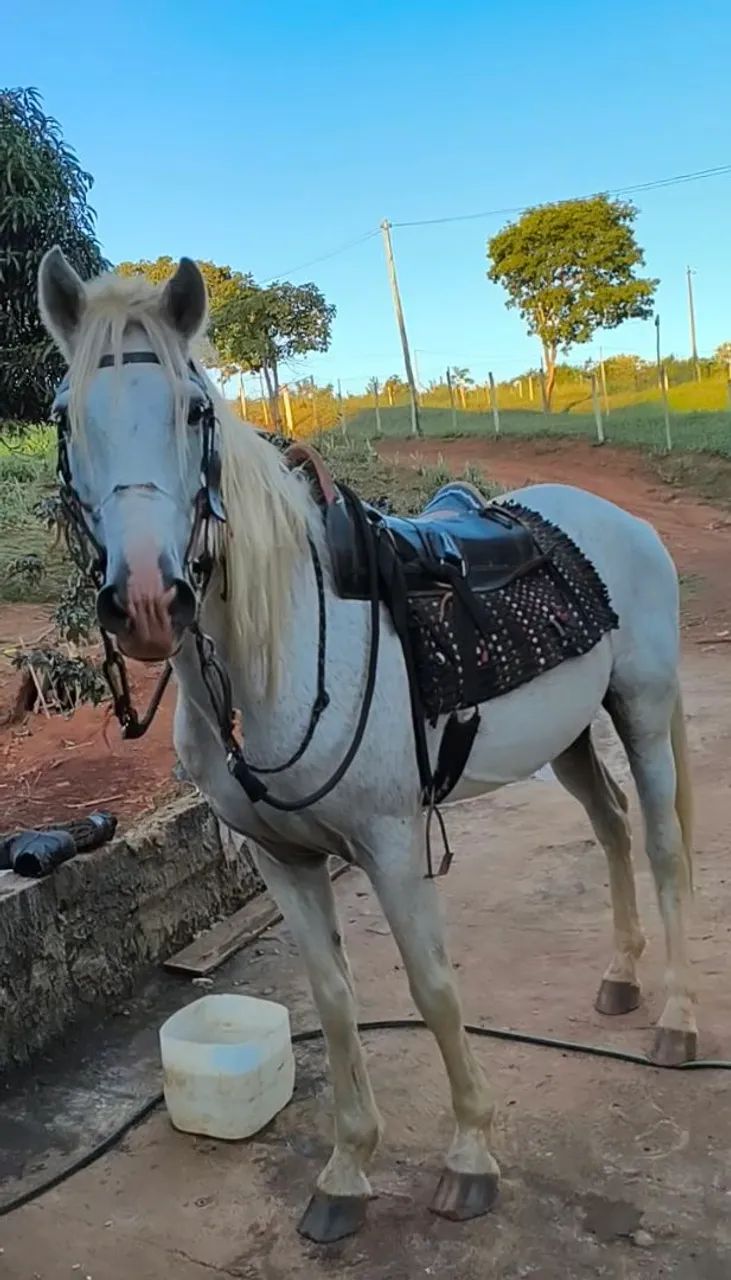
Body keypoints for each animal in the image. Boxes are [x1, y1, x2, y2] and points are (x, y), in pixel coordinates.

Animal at [38, 249, 696, 1244]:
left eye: (194, 411)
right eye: (67, 417)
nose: (149, 601)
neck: (279, 646)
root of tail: (614, 521)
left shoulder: (389, 844)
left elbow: (431, 989)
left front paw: (469, 1159)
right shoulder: (281, 860)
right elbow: (335, 1001)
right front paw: (346, 1172)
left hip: (643, 710)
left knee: (660, 847)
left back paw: (677, 1021)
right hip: (571, 735)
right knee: (613, 827)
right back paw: (620, 980)